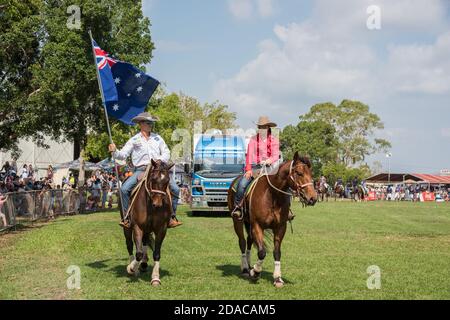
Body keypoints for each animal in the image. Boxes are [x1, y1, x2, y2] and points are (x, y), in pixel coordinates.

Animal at [227, 152, 318, 288]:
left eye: (311, 174)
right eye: (299, 173)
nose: (313, 198)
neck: (272, 195)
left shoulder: (280, 227)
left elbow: (277, 252)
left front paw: (277, 278)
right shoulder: (257, 226)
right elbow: (262, 252)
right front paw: (255, 272)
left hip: (248, 223)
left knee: (249, 241)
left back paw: (248, 265)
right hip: (237, 220)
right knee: (242, 242)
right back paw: (245, 269)